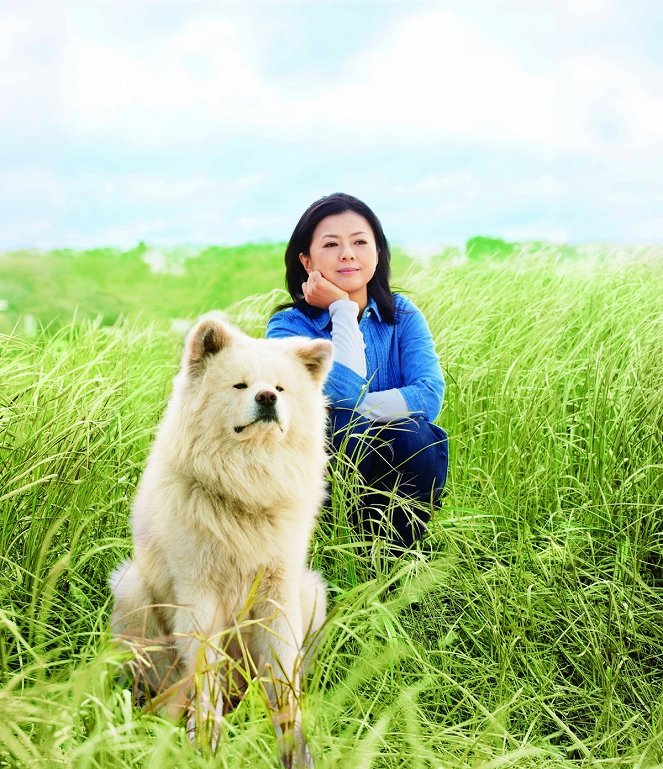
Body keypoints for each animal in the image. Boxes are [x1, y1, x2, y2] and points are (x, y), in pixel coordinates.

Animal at [111, 316, 334, 764]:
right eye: (240, 385)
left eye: (281, 388)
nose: (267, 397)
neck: (246, 486)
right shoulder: (199, 595)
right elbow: (204, 676)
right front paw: (204, 742)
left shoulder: (278, 593)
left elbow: (284, 682)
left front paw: (294, 747)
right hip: (132, 590)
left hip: (310, 591)